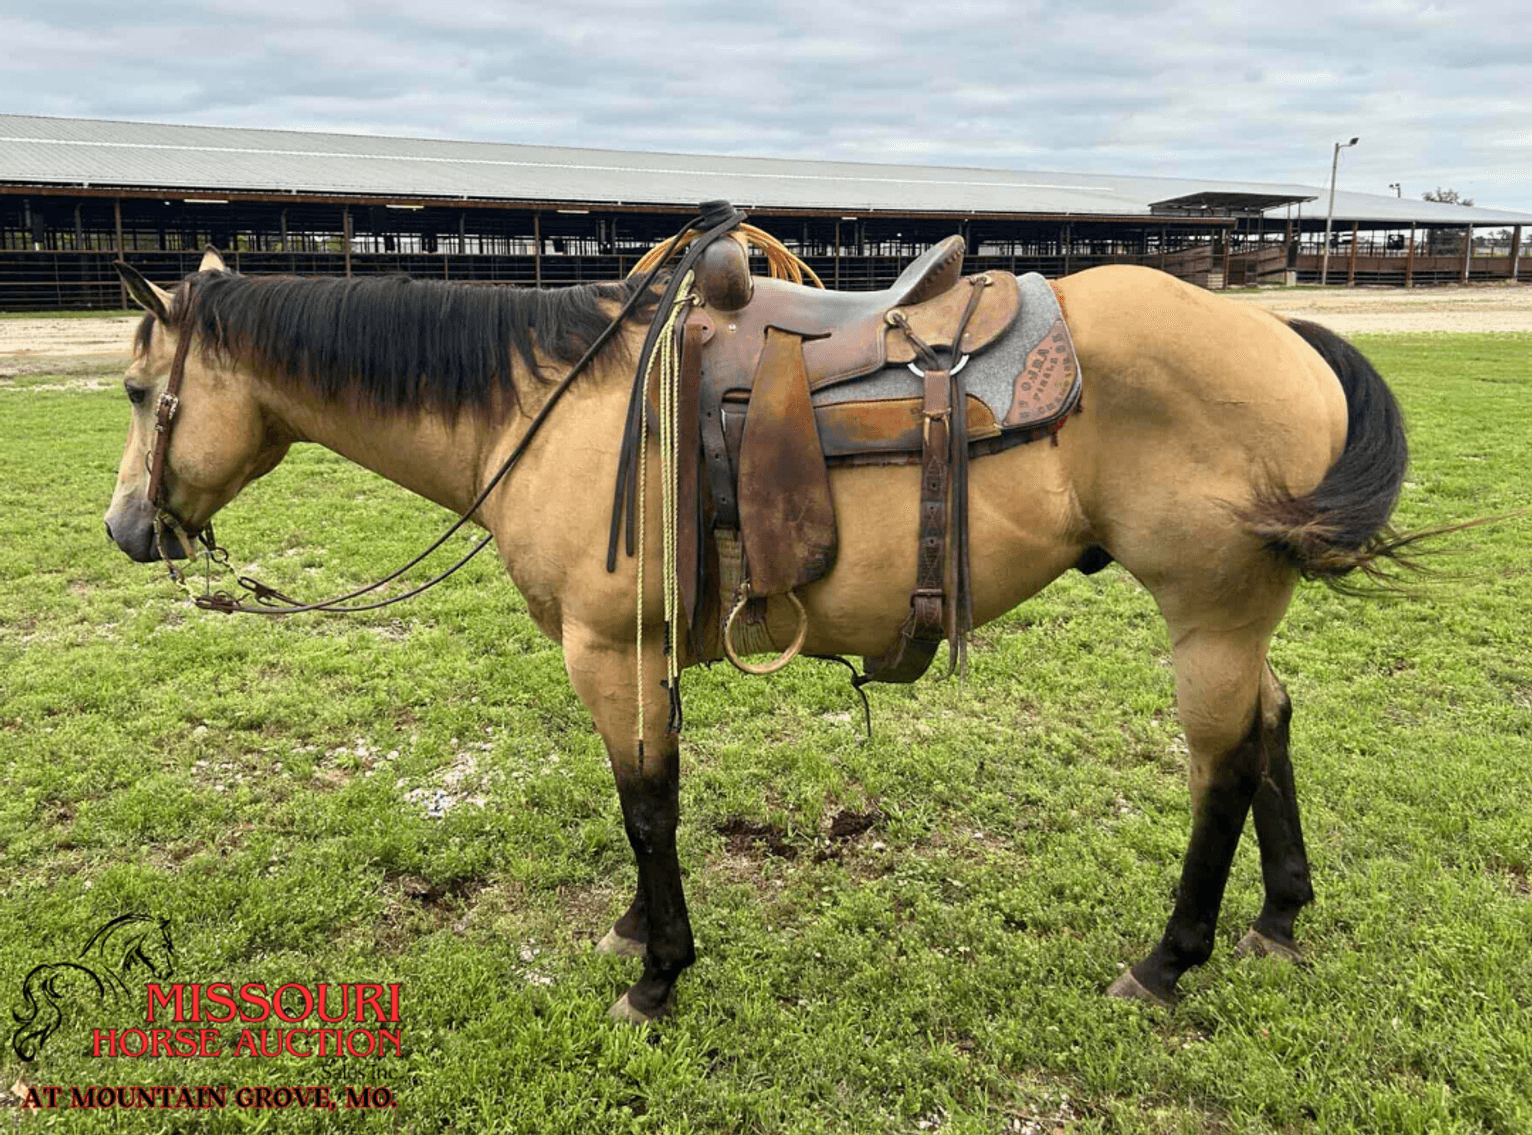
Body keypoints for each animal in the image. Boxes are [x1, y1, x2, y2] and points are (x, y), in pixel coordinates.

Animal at [103, 245, 1413, 1024]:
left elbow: (645, 804)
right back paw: (1277, 917)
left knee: (1221, 766)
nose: (124, 526)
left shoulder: (609, 649)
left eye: (136, 391)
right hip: (1236, 619)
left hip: (1206, 613)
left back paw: (1167, 958)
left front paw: (657, 972)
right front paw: (639, 929)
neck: (548, 405)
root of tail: (1285, 337)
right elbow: (649, 794)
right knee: (1272, 725)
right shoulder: (641, 656)